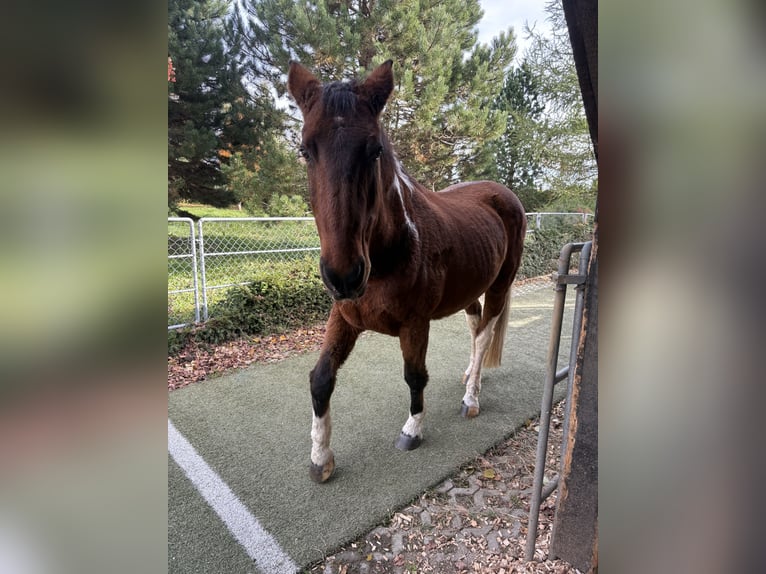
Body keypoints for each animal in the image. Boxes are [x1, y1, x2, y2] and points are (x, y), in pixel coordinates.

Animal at [287, 60, 526, 483]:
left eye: (375, 150)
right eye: (305, 149)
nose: (344, 276)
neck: (391, 251)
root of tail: (503, 193)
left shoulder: (416, 323)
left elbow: (415, 375)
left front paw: (413, 430)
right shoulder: (343, 317)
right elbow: (320, 378)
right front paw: (320, 457)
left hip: (500, 283)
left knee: (485, 334)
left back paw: (471, 397)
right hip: (470, 288)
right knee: (476, 326)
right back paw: (471, 375)